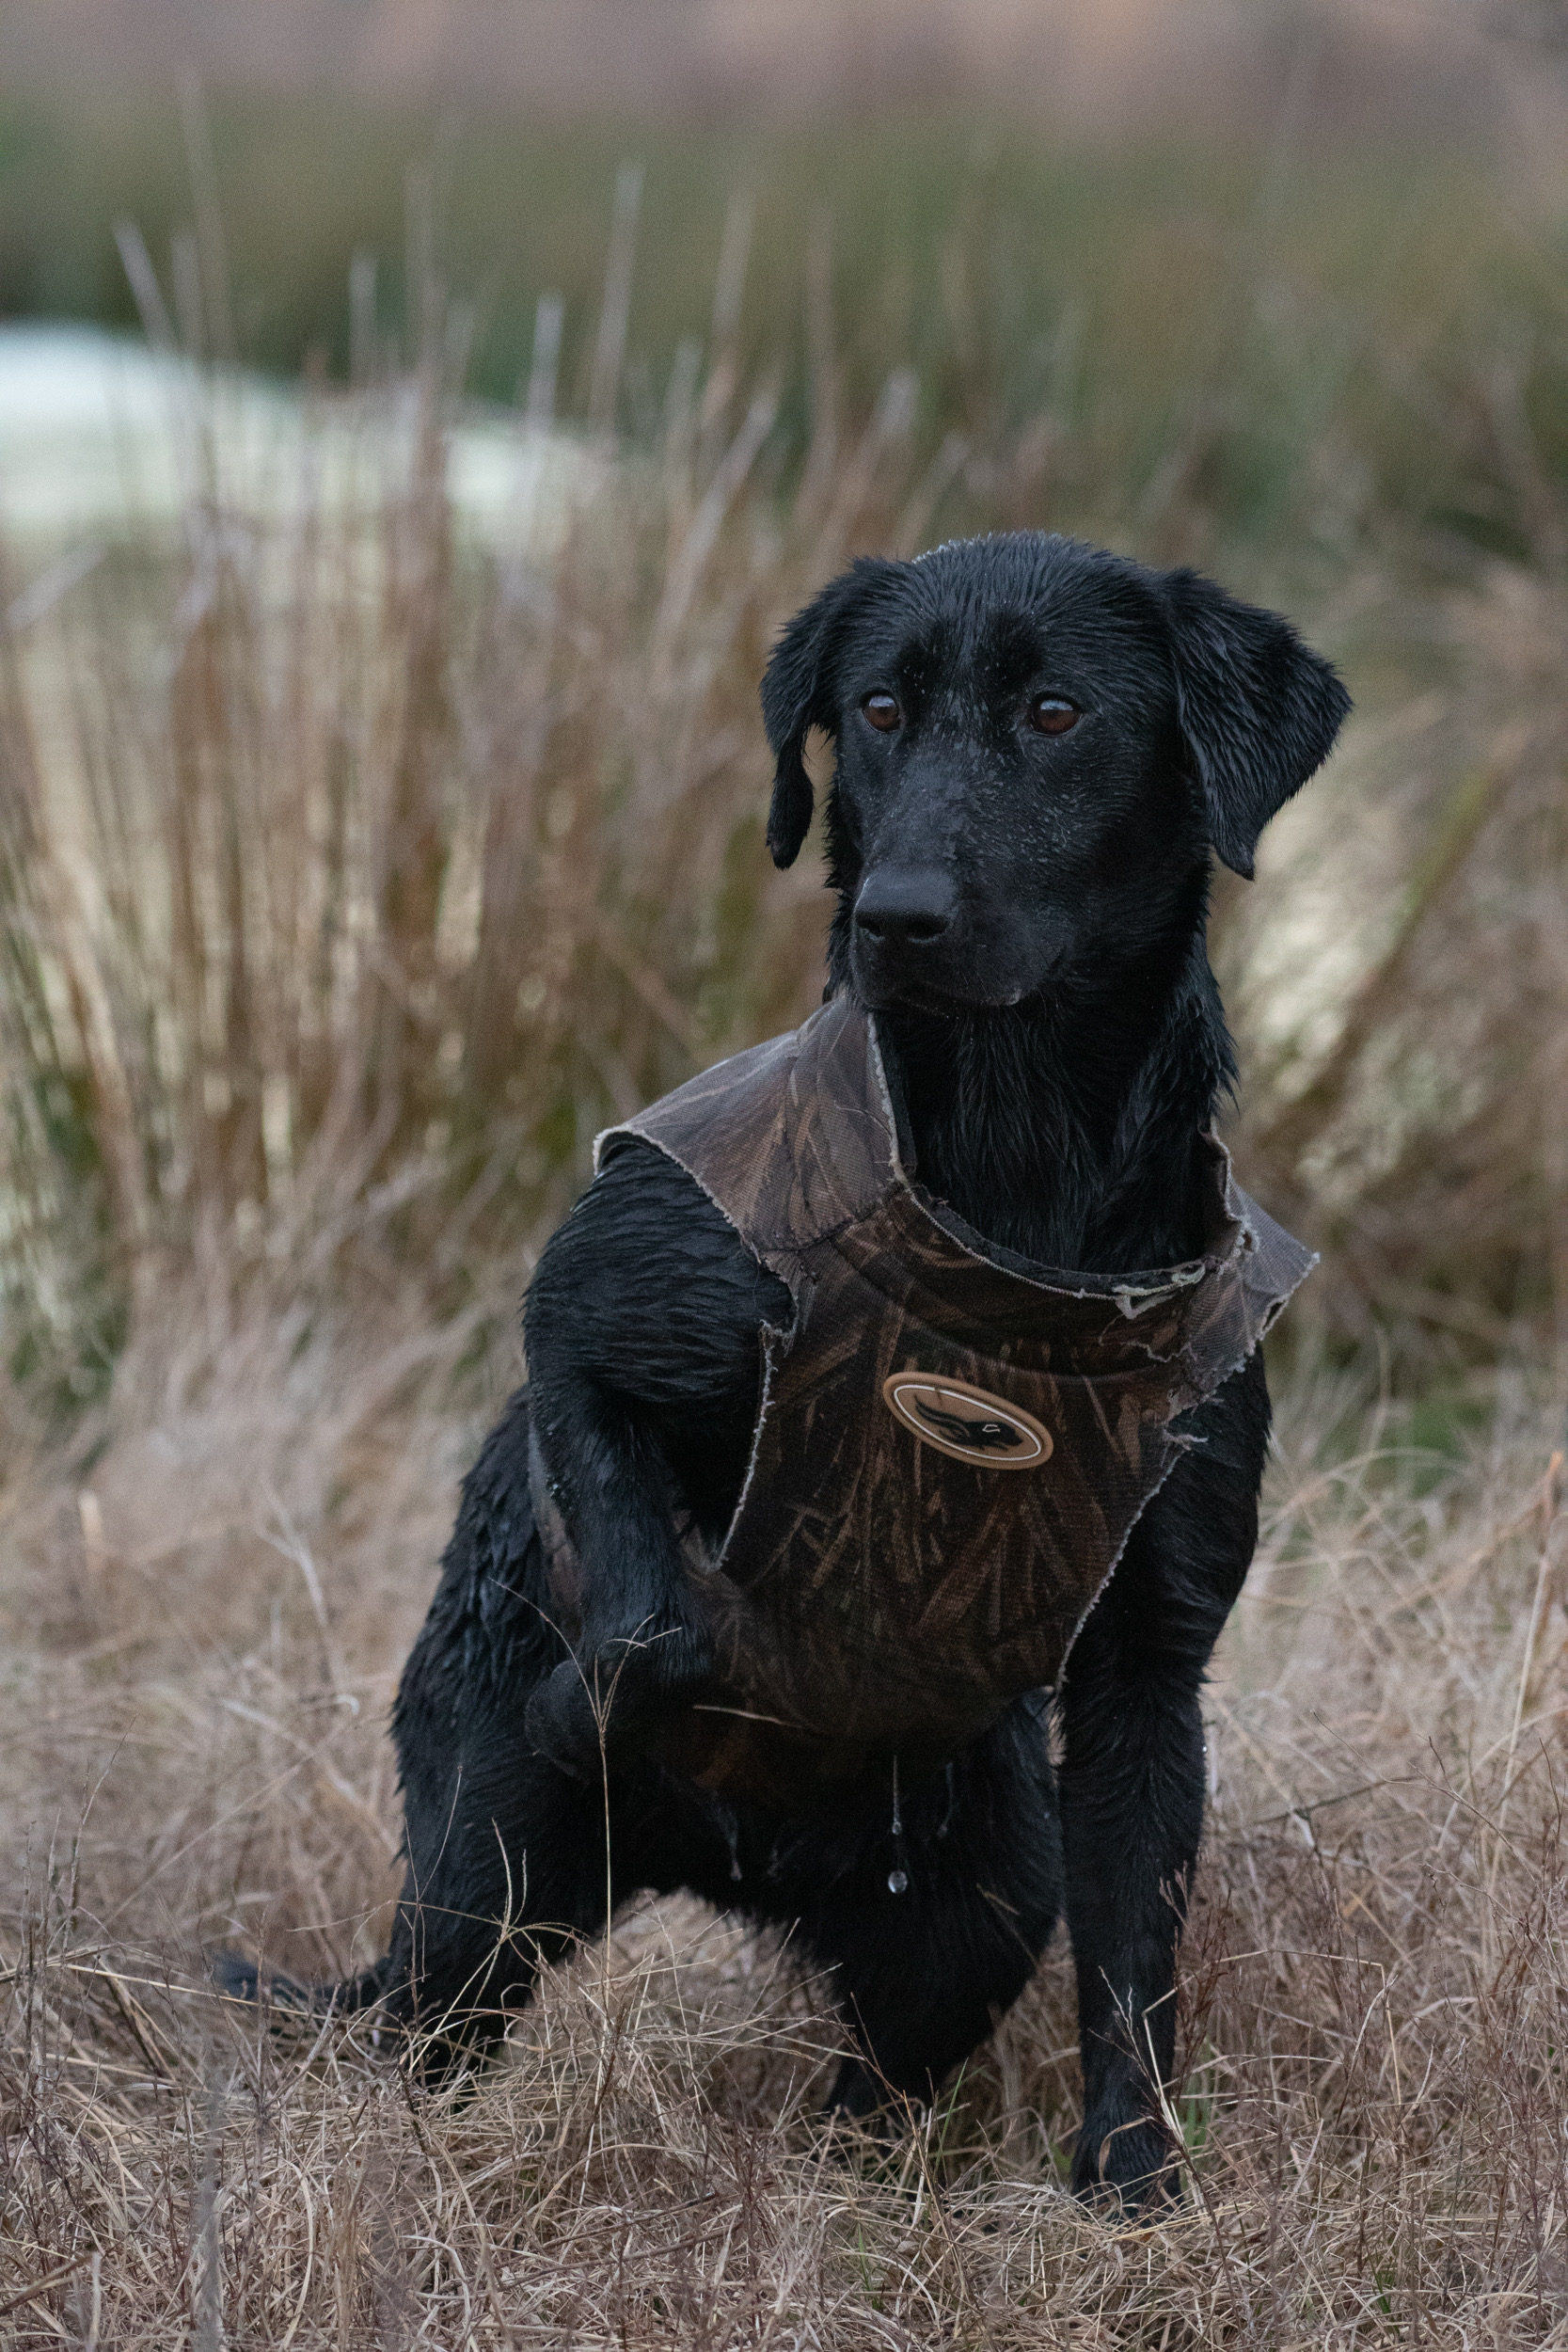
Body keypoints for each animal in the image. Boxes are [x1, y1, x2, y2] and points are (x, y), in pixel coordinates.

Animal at [217, 529, 1354, 2201]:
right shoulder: (588, 1325)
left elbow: (1135, 1949)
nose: (901, 914)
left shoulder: (1153, 1653)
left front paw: (1132, 2181)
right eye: (876, 708)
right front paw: (611, 1700)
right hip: (473, 1901)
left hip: (982, 1898)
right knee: (425, 2021)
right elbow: (646, 1629)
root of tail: (729, 1875)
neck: (1008, 1175)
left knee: (868, 2087)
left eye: (1056, 714)